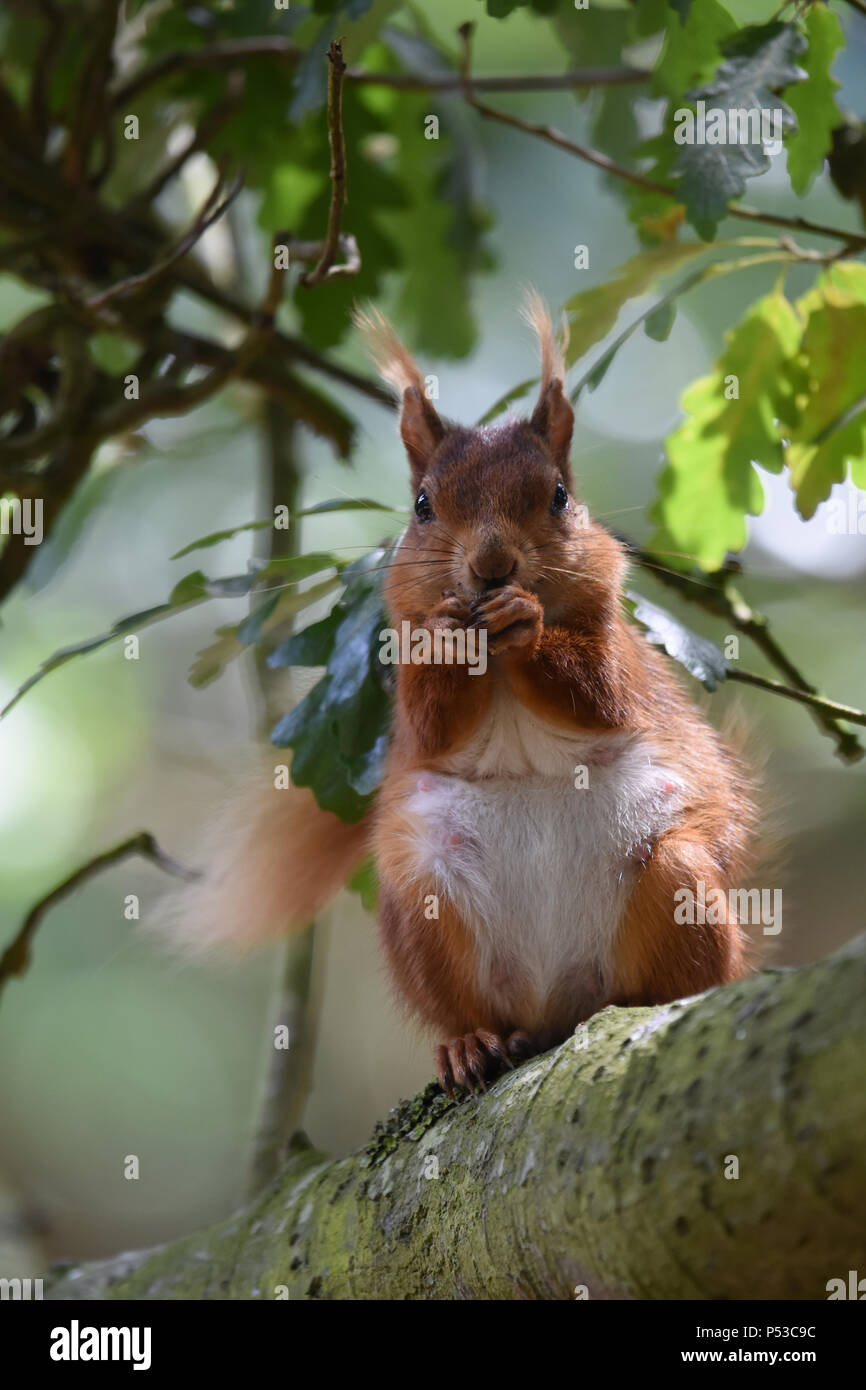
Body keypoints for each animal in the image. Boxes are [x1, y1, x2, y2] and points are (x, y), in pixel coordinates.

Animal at [164, 293, 756, 1095]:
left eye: (560, 497)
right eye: (421, 505)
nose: (491, 566)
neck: (497, 666)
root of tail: (554, 1003)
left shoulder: (623, 657)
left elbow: (599, 694)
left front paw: (528, 624)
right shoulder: (407, 689)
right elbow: (431, 722)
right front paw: (452, 640)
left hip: (679, 877)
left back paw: (652, 1001)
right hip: (424, 906)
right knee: (467, 1008)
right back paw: (469, 1044)